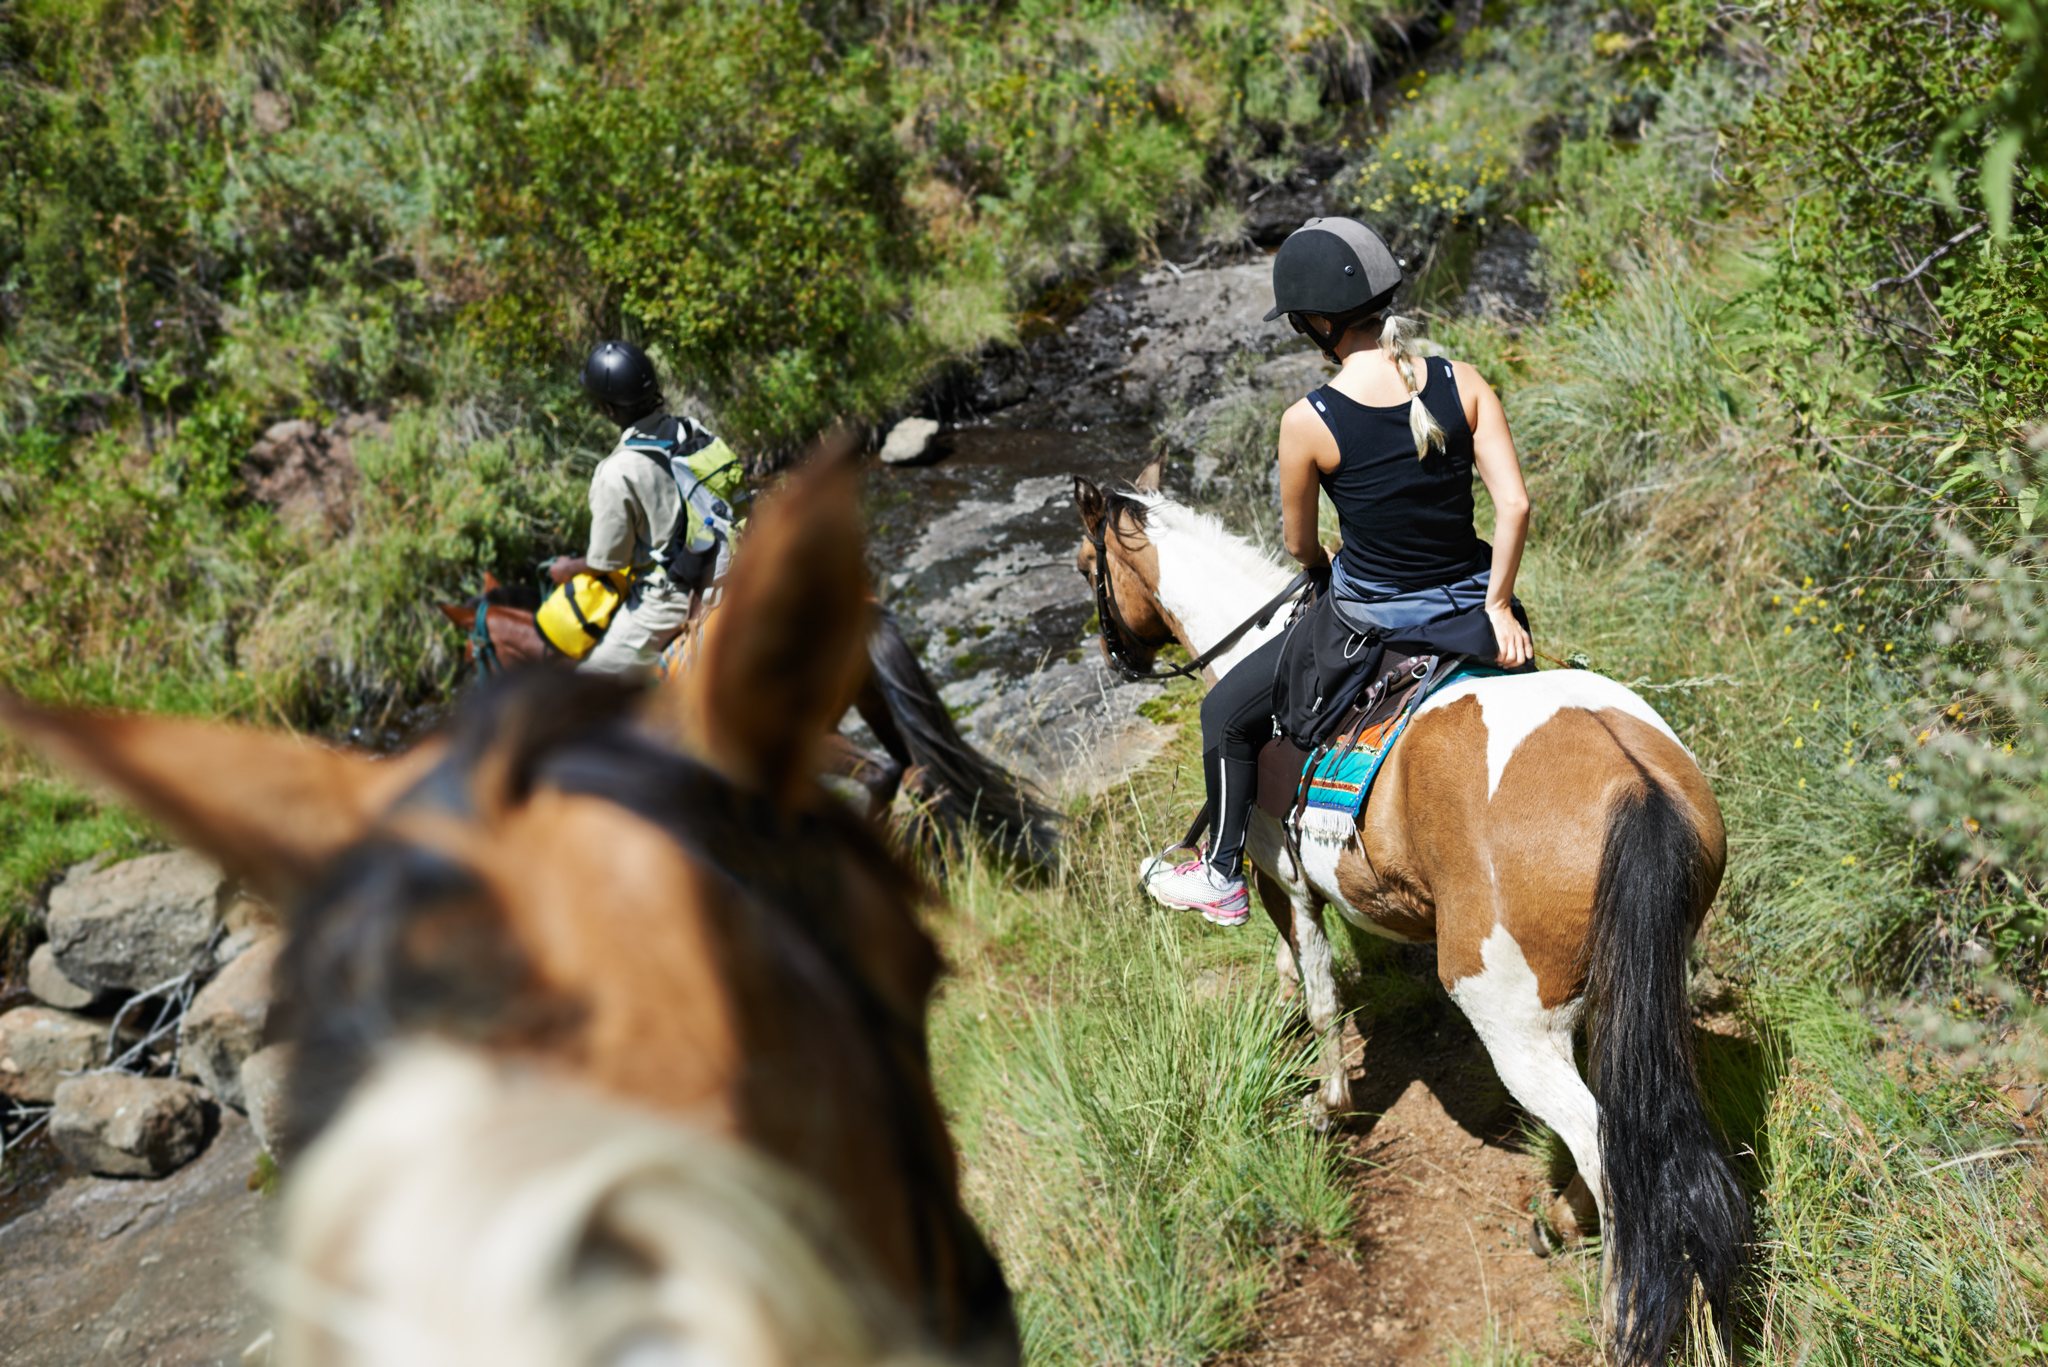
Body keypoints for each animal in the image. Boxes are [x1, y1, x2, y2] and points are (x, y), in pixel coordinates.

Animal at [1073, 477, 1747, 1366]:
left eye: (1087, 566)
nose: (1114, 655)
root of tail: (1634, 782)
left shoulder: (1283, 879)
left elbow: (1322, 997)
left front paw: (1327, 1104)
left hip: (1513, 1022)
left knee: (1603, 1144)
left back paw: (1612, 1309)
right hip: (1632, 996)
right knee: (1632, 1127)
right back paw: (1564, 1220)